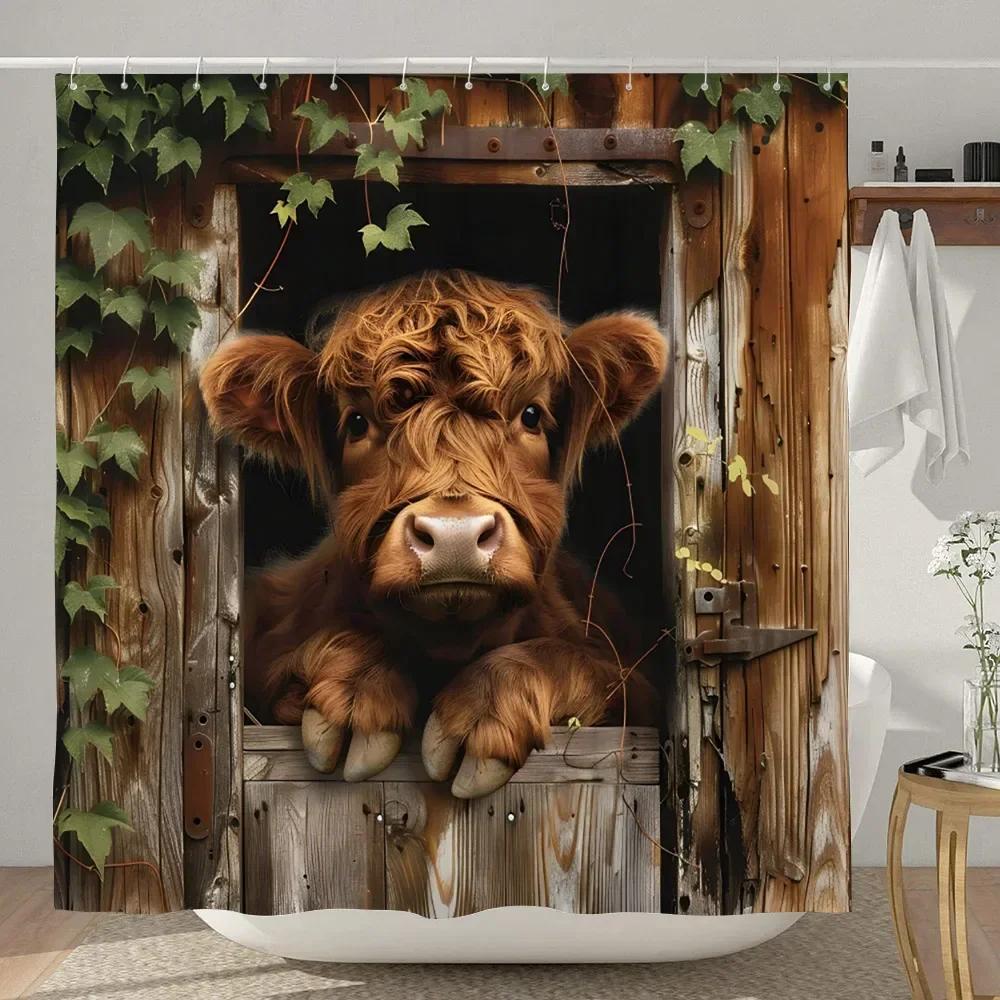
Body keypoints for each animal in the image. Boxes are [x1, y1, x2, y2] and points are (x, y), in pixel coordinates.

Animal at [200, 269, 667, 799]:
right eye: (356, 422)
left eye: (530, 414)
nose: (454, 536)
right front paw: (358, 690)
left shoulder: (637, 687)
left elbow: (576, 663)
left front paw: (484, 712)